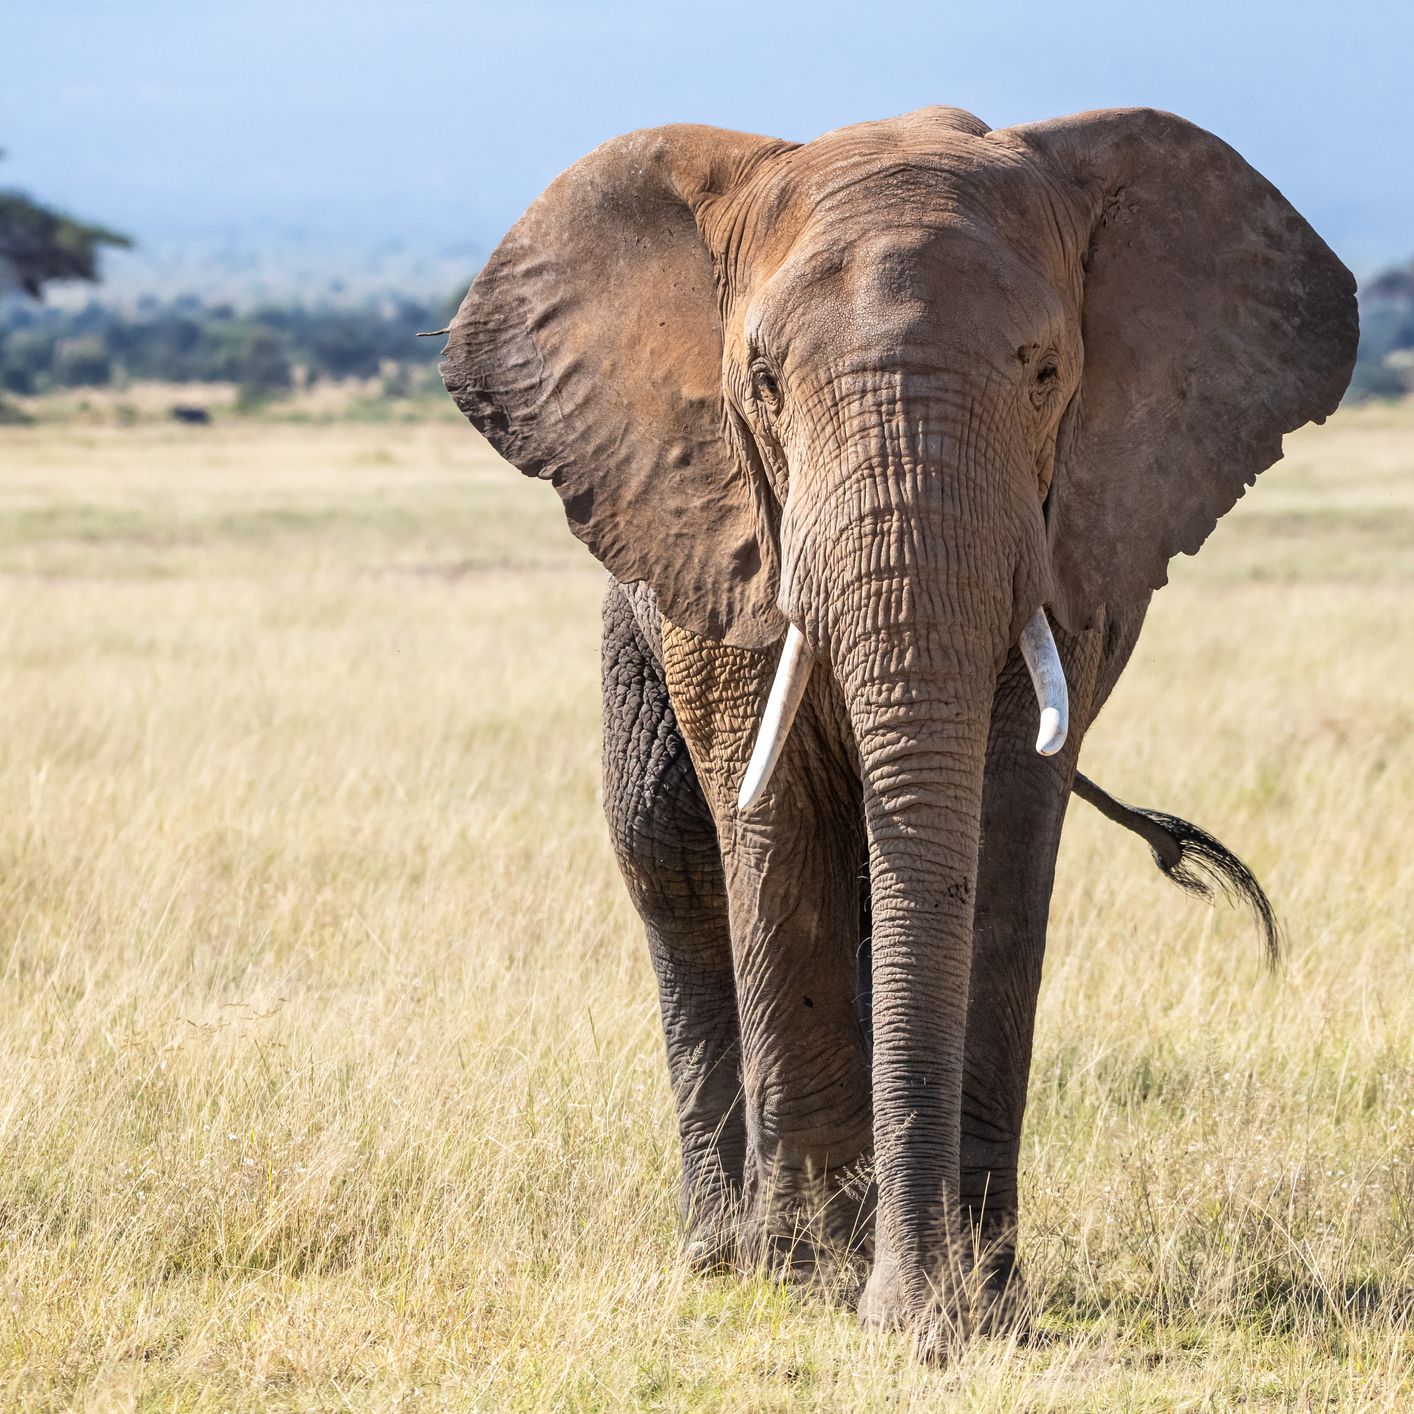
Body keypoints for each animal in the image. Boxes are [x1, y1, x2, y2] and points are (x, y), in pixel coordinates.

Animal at [443, 104, 1357, 1351]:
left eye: (1046, 373)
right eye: (762, 383)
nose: (918, 1321)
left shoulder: (1067, 543)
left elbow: (1003, 831)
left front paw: (978, 1298)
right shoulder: (732, 529)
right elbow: (770, 821)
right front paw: (810, 1282)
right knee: (668, 859)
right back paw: (726, 1251)